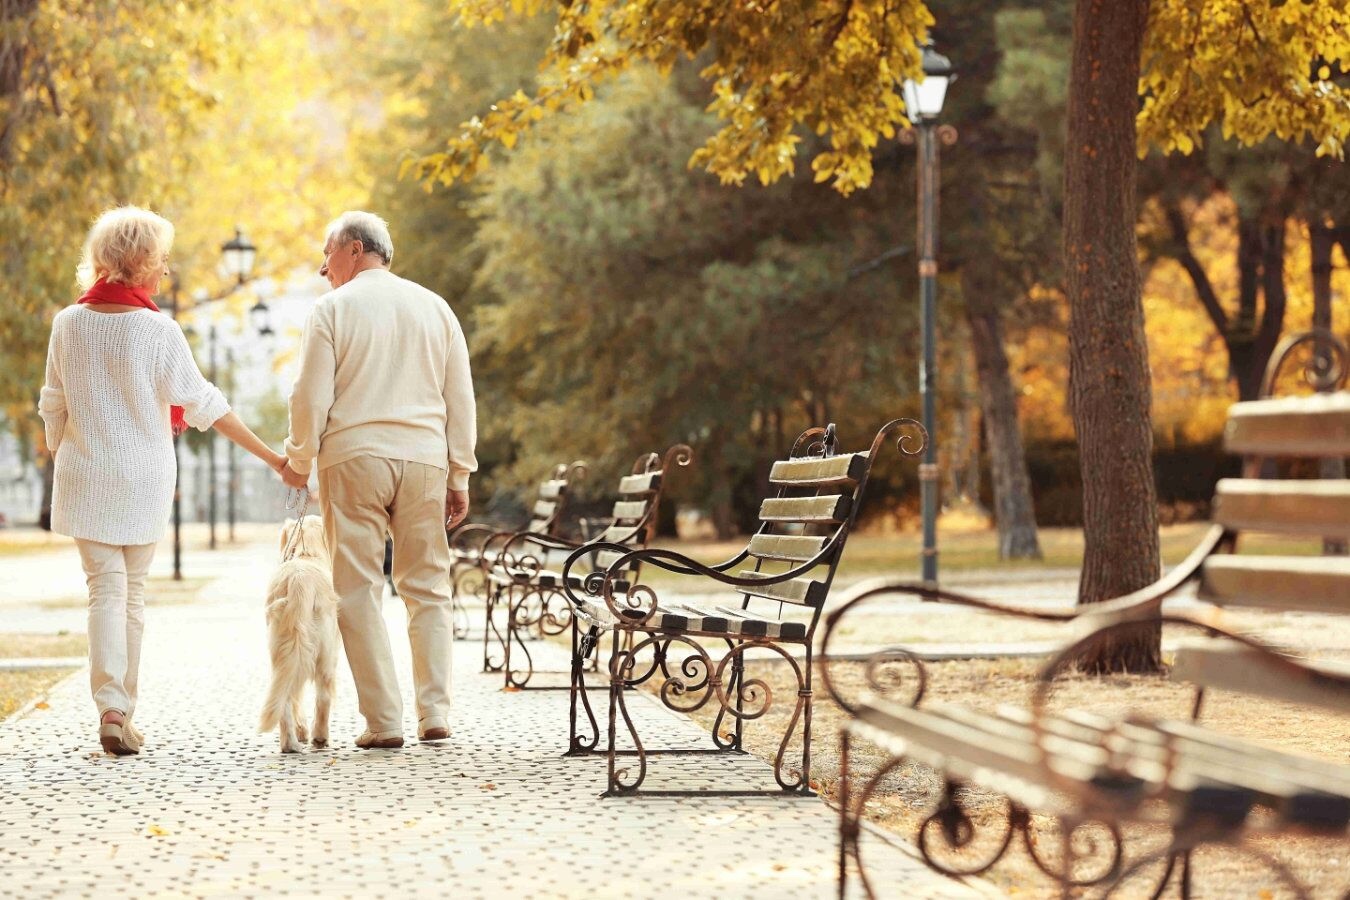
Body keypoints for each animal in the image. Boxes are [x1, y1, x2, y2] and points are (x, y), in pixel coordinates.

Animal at [259, 512, 340, 755]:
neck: (308, 555)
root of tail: (299, 579)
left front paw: (301, 731)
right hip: (325, 653)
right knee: (323, 695)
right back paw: (320, 737)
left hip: (283, 649)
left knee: (284, 697)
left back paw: (290, 743)